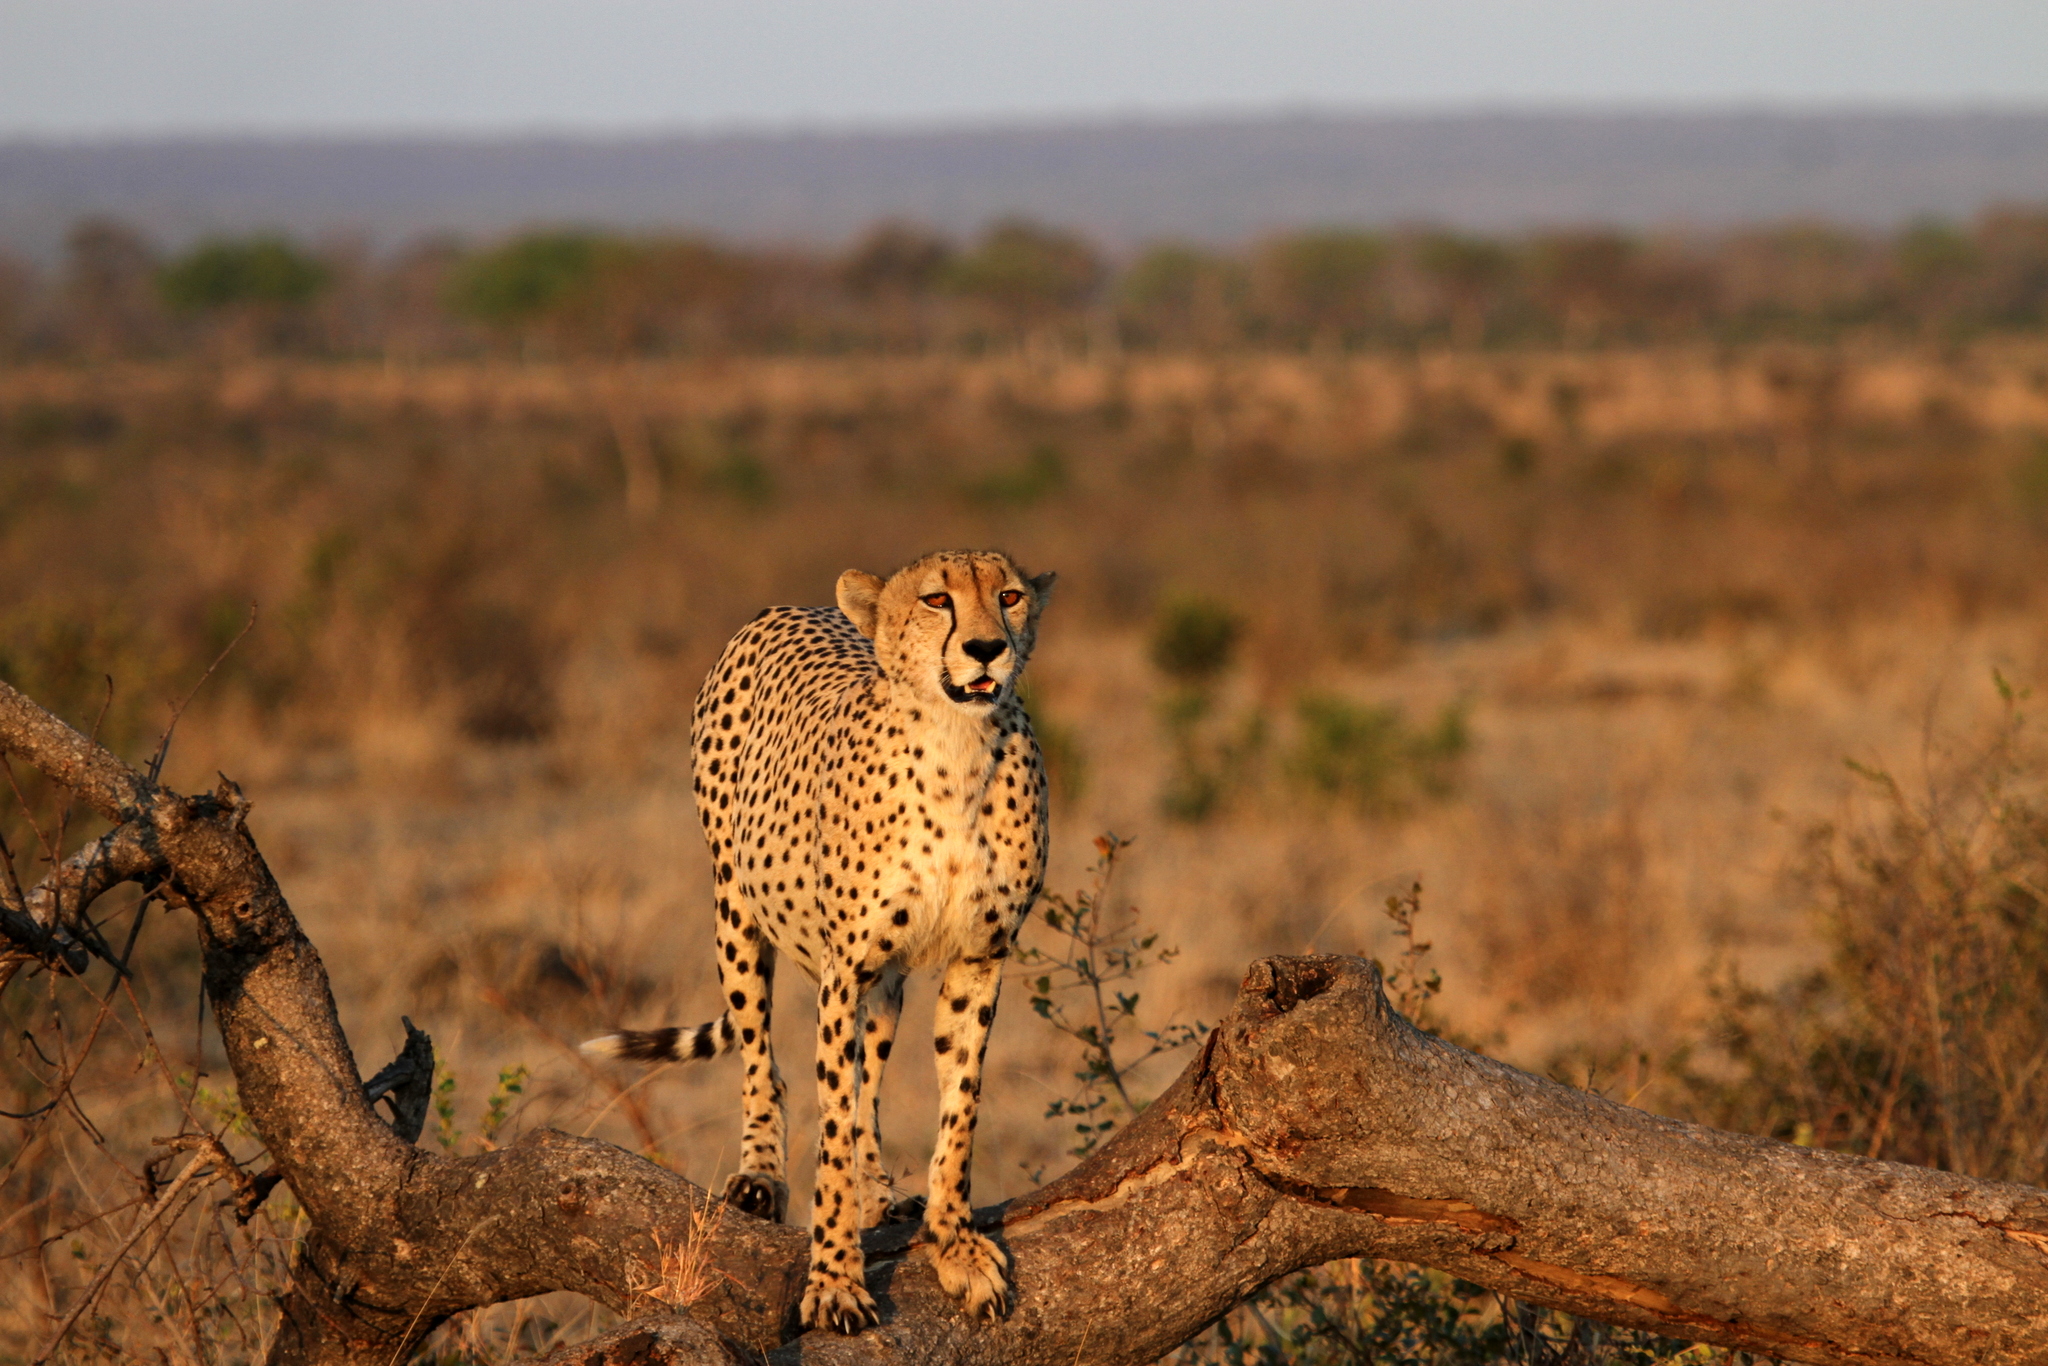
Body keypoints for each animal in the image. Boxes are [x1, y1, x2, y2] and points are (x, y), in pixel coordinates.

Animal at [584, 548, 1056, 1335]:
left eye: (1011, 596)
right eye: (937, 600)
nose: (987, 647)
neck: (957, 746)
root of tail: (792, 608)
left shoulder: (978, 957)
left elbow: (957, 1108)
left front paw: (955, 1245)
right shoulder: (845, 964)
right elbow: (829, 1124)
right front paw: (835, 1279)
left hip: (884, 982)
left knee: (870, 1084)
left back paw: (879, 1191)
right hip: (735, 909)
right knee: (760, 1057)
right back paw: (761, 1174)